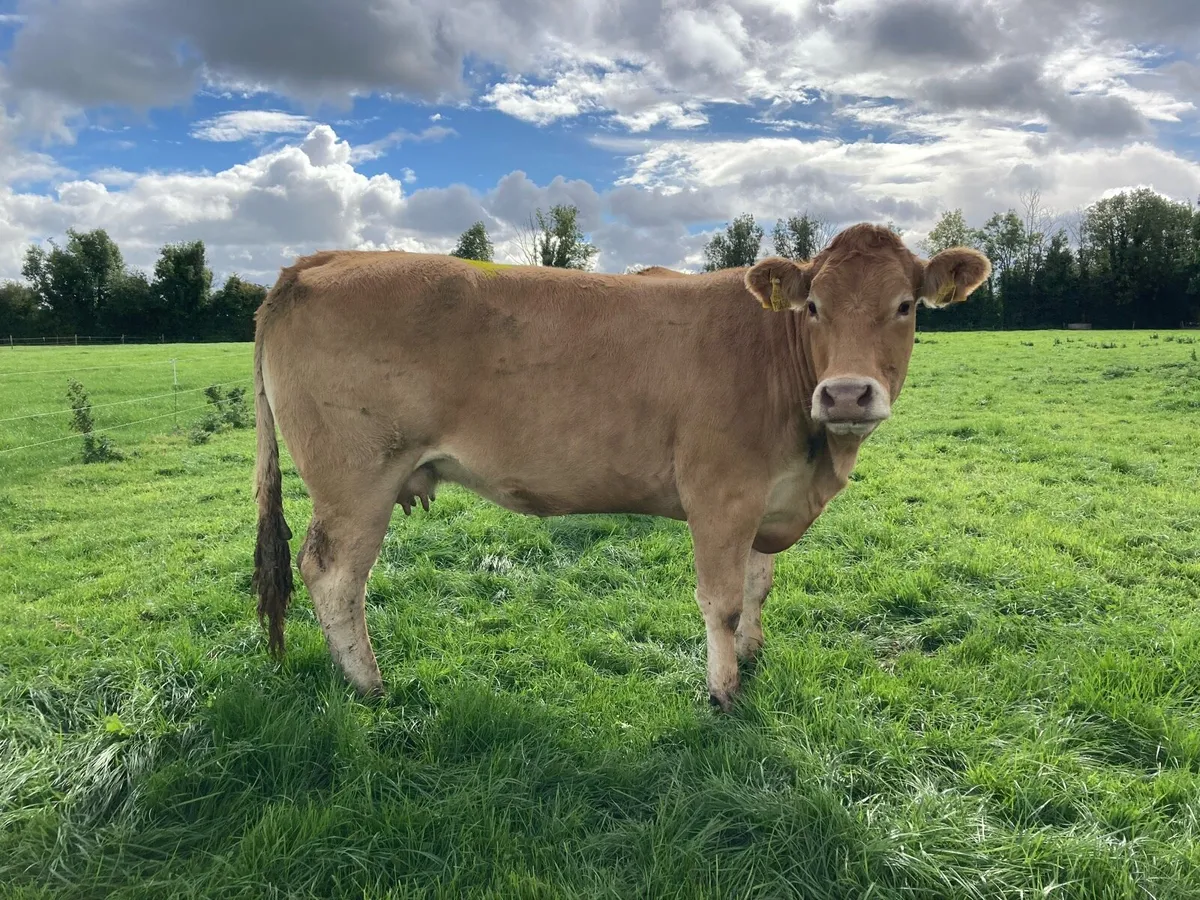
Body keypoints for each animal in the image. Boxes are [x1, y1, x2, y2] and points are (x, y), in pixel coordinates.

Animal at [251, 223, 990, 711]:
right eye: (814, 306)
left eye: (905, 306)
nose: (846, 394)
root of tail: (319, 261)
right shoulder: (720, 495)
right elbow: (721, 601)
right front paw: (723, 690)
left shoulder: (766, 499)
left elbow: (758, 586)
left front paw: (751, 655)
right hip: (355, 480)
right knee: (333, 576)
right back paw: (368, 685)